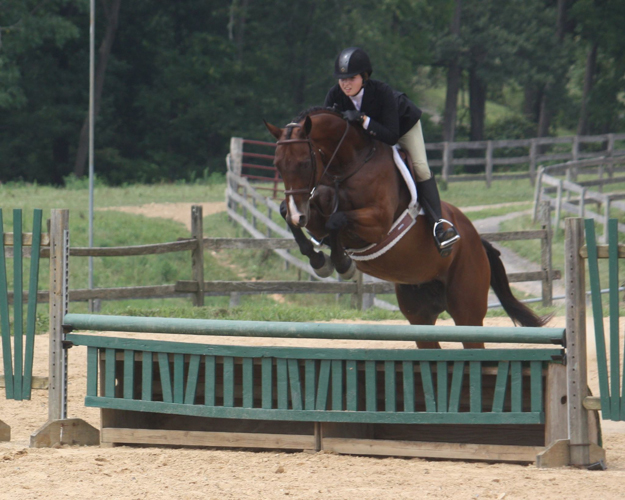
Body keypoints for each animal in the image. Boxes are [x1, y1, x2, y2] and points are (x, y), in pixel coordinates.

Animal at [264, 107, 544, 348]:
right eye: (277, 165)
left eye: (304, 163)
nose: (299, 214)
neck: (348, 165)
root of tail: (478, 241)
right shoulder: (314, 213)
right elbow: (291, 215)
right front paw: (319, 260)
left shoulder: (377, 224)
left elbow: (336, 220)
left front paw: (342, 264)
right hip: (419, 314)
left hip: (468, 310)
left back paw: (445, 235)